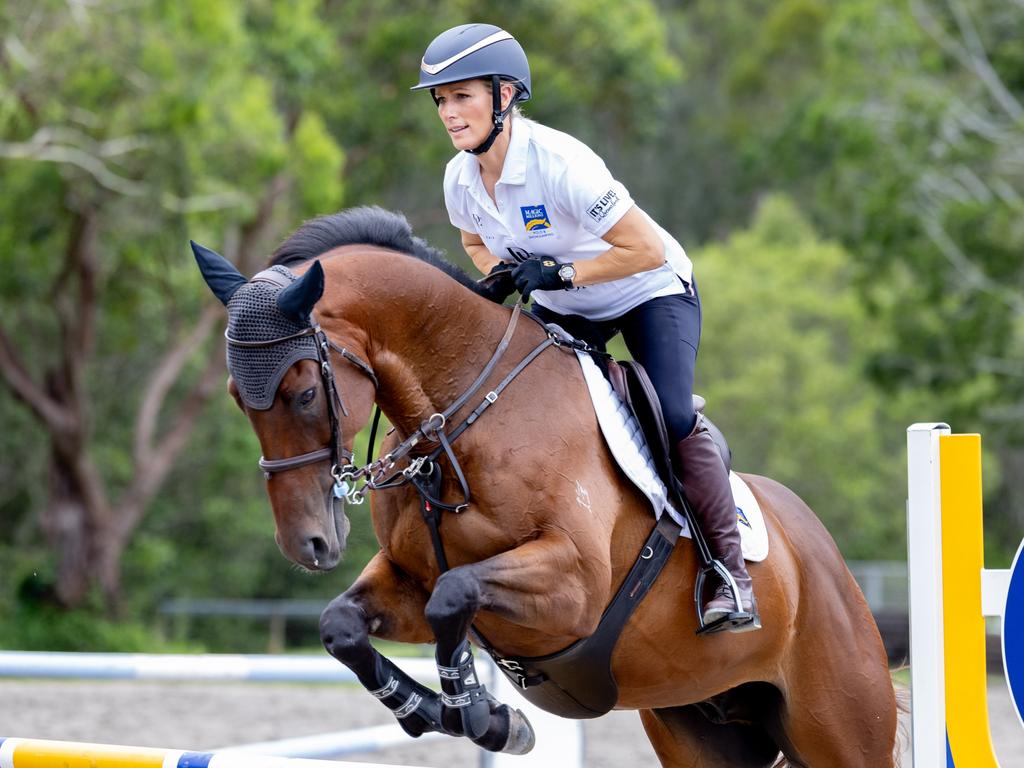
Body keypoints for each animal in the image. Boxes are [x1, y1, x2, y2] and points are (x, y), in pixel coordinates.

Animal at [192, 207, 897, 765]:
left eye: (305, 392)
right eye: (238, 397)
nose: (307, 544)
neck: (458, 423)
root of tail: (828, 560)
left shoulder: (572, 588)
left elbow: (454, 595)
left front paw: (481, 715)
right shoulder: (409, 579)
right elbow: (343, 624)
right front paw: (449, 714)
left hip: (841, 725)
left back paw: (731, 595)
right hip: (703, 726)